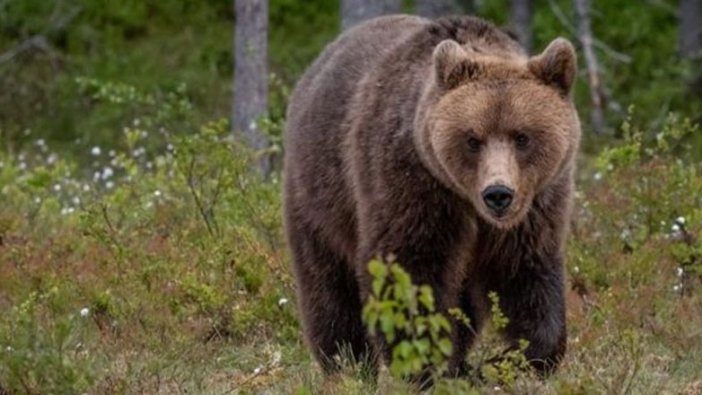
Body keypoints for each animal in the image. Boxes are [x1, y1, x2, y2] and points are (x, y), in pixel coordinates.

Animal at [284, 14, 580, 378]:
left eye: (522, 137)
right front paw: (424, 363)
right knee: (328, 284)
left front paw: (515, 359)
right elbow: (410, 267)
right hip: (321, 193)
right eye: (472, 139)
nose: (498, 194)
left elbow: (525, 272)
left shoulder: (536, 205)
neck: (467, 201)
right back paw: (347, 362)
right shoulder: (412, 183)